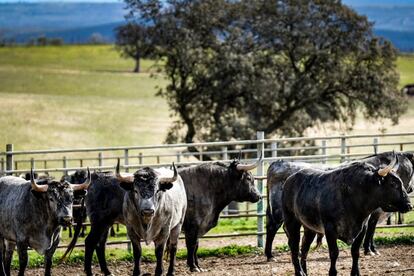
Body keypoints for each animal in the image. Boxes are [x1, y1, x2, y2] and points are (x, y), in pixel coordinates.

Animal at [266, 150, 414, 260]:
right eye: (394, 184)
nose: (409, 204)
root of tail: (278, 163)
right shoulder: (375, 213)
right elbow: (371, 229)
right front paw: (370, 249)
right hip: (281, 212)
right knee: (273, 227)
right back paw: (270, 255)